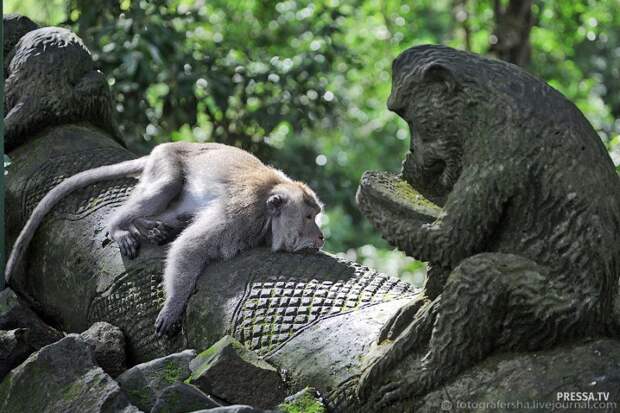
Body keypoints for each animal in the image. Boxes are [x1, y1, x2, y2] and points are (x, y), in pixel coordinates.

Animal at [7, 142, 324, 334]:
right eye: (309, 217)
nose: (321, 236)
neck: (268, 206)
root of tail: (169, 145)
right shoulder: (240, 213)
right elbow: (191, 246)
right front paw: (173, 305)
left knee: (178, 211)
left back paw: (151, 226)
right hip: (166, 162)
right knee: (167, 185)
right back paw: (121, 226)